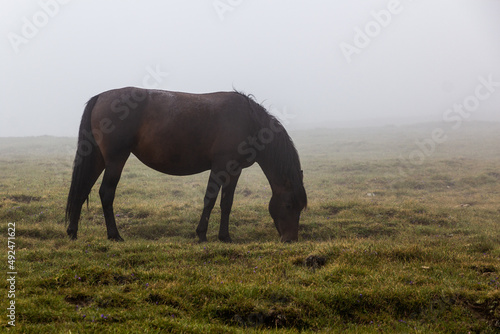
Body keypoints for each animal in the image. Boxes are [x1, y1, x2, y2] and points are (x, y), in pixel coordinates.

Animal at [65, 86, 308, 243]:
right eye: (288, 205)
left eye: (300, 207)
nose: (290, 240)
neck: (249, 122)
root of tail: (100, 97)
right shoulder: (220, 167)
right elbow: (210, 199)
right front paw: (201, 235)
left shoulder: (234, 171)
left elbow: (226, 203)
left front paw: (225, 237)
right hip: (116, 160)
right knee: (106, 193)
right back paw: (114, 235)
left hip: (99, 158)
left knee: (82, 189)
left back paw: (73, 231)